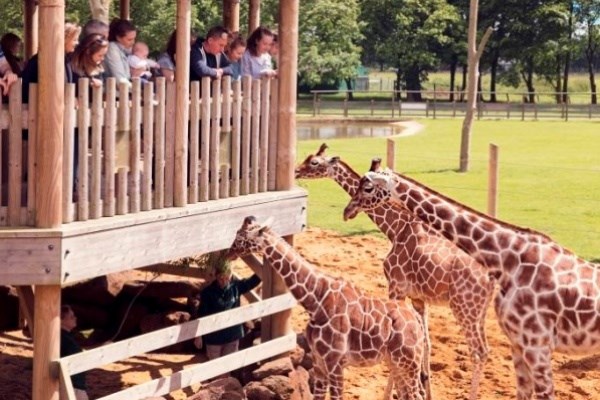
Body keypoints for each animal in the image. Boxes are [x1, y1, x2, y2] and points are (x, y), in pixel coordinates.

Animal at [226, 217, 426, 398]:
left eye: (241, 236)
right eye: (237, 232)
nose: (228, 253)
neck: (316, 302)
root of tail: (416, 320)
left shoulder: (335, 363)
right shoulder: (319, 363)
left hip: (410, 364)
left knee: (416, 395)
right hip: (396, 363)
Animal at [296, 144, 496, 400]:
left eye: (314, 162)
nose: (296, 171)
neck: (395, 227)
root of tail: (492, 279)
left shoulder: (396, 287)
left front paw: (392, 393)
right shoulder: (419, 298)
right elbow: (426, 342)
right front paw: (425, 389)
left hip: (465, 308)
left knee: (479, 351)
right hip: (479, 312)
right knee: (486, 350)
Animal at [342, 167, 600, 398]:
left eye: (367, 187)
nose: (347, 210)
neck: (507, 258)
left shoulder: (537, 345)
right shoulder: (518, 345)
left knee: (478, 351)